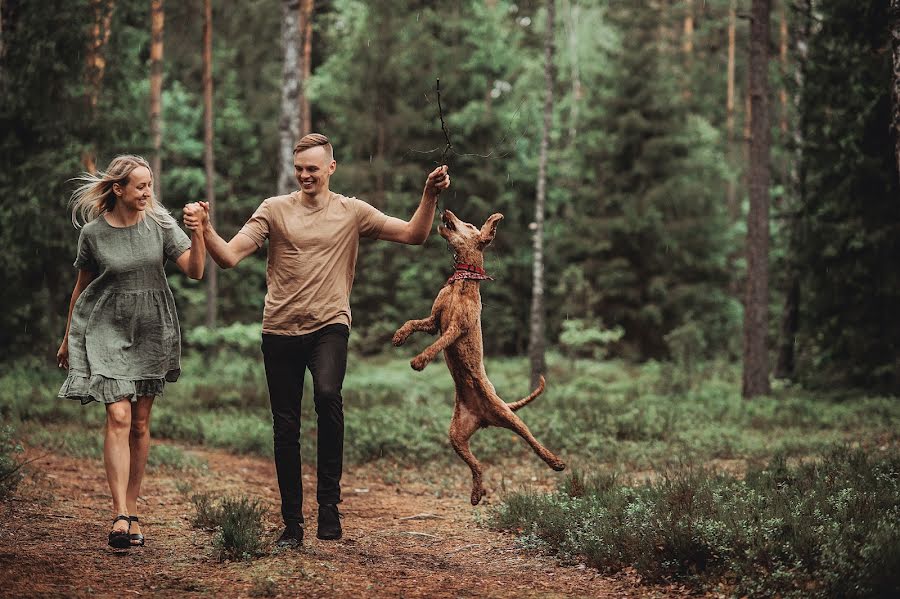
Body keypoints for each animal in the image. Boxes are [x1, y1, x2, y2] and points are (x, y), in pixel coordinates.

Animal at [392, 211, 568, 506]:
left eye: (470, 225)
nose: (445, 212)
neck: (462, 281)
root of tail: (484, 418)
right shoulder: (433, 321)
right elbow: (413, 322)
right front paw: (399, 336)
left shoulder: (455, 328)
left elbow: (437, 344)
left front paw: (419, 361)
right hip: (456, 435)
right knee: (478, 465)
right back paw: (476, 492)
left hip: (509, 417)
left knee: (532, 440)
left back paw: (555, 461)